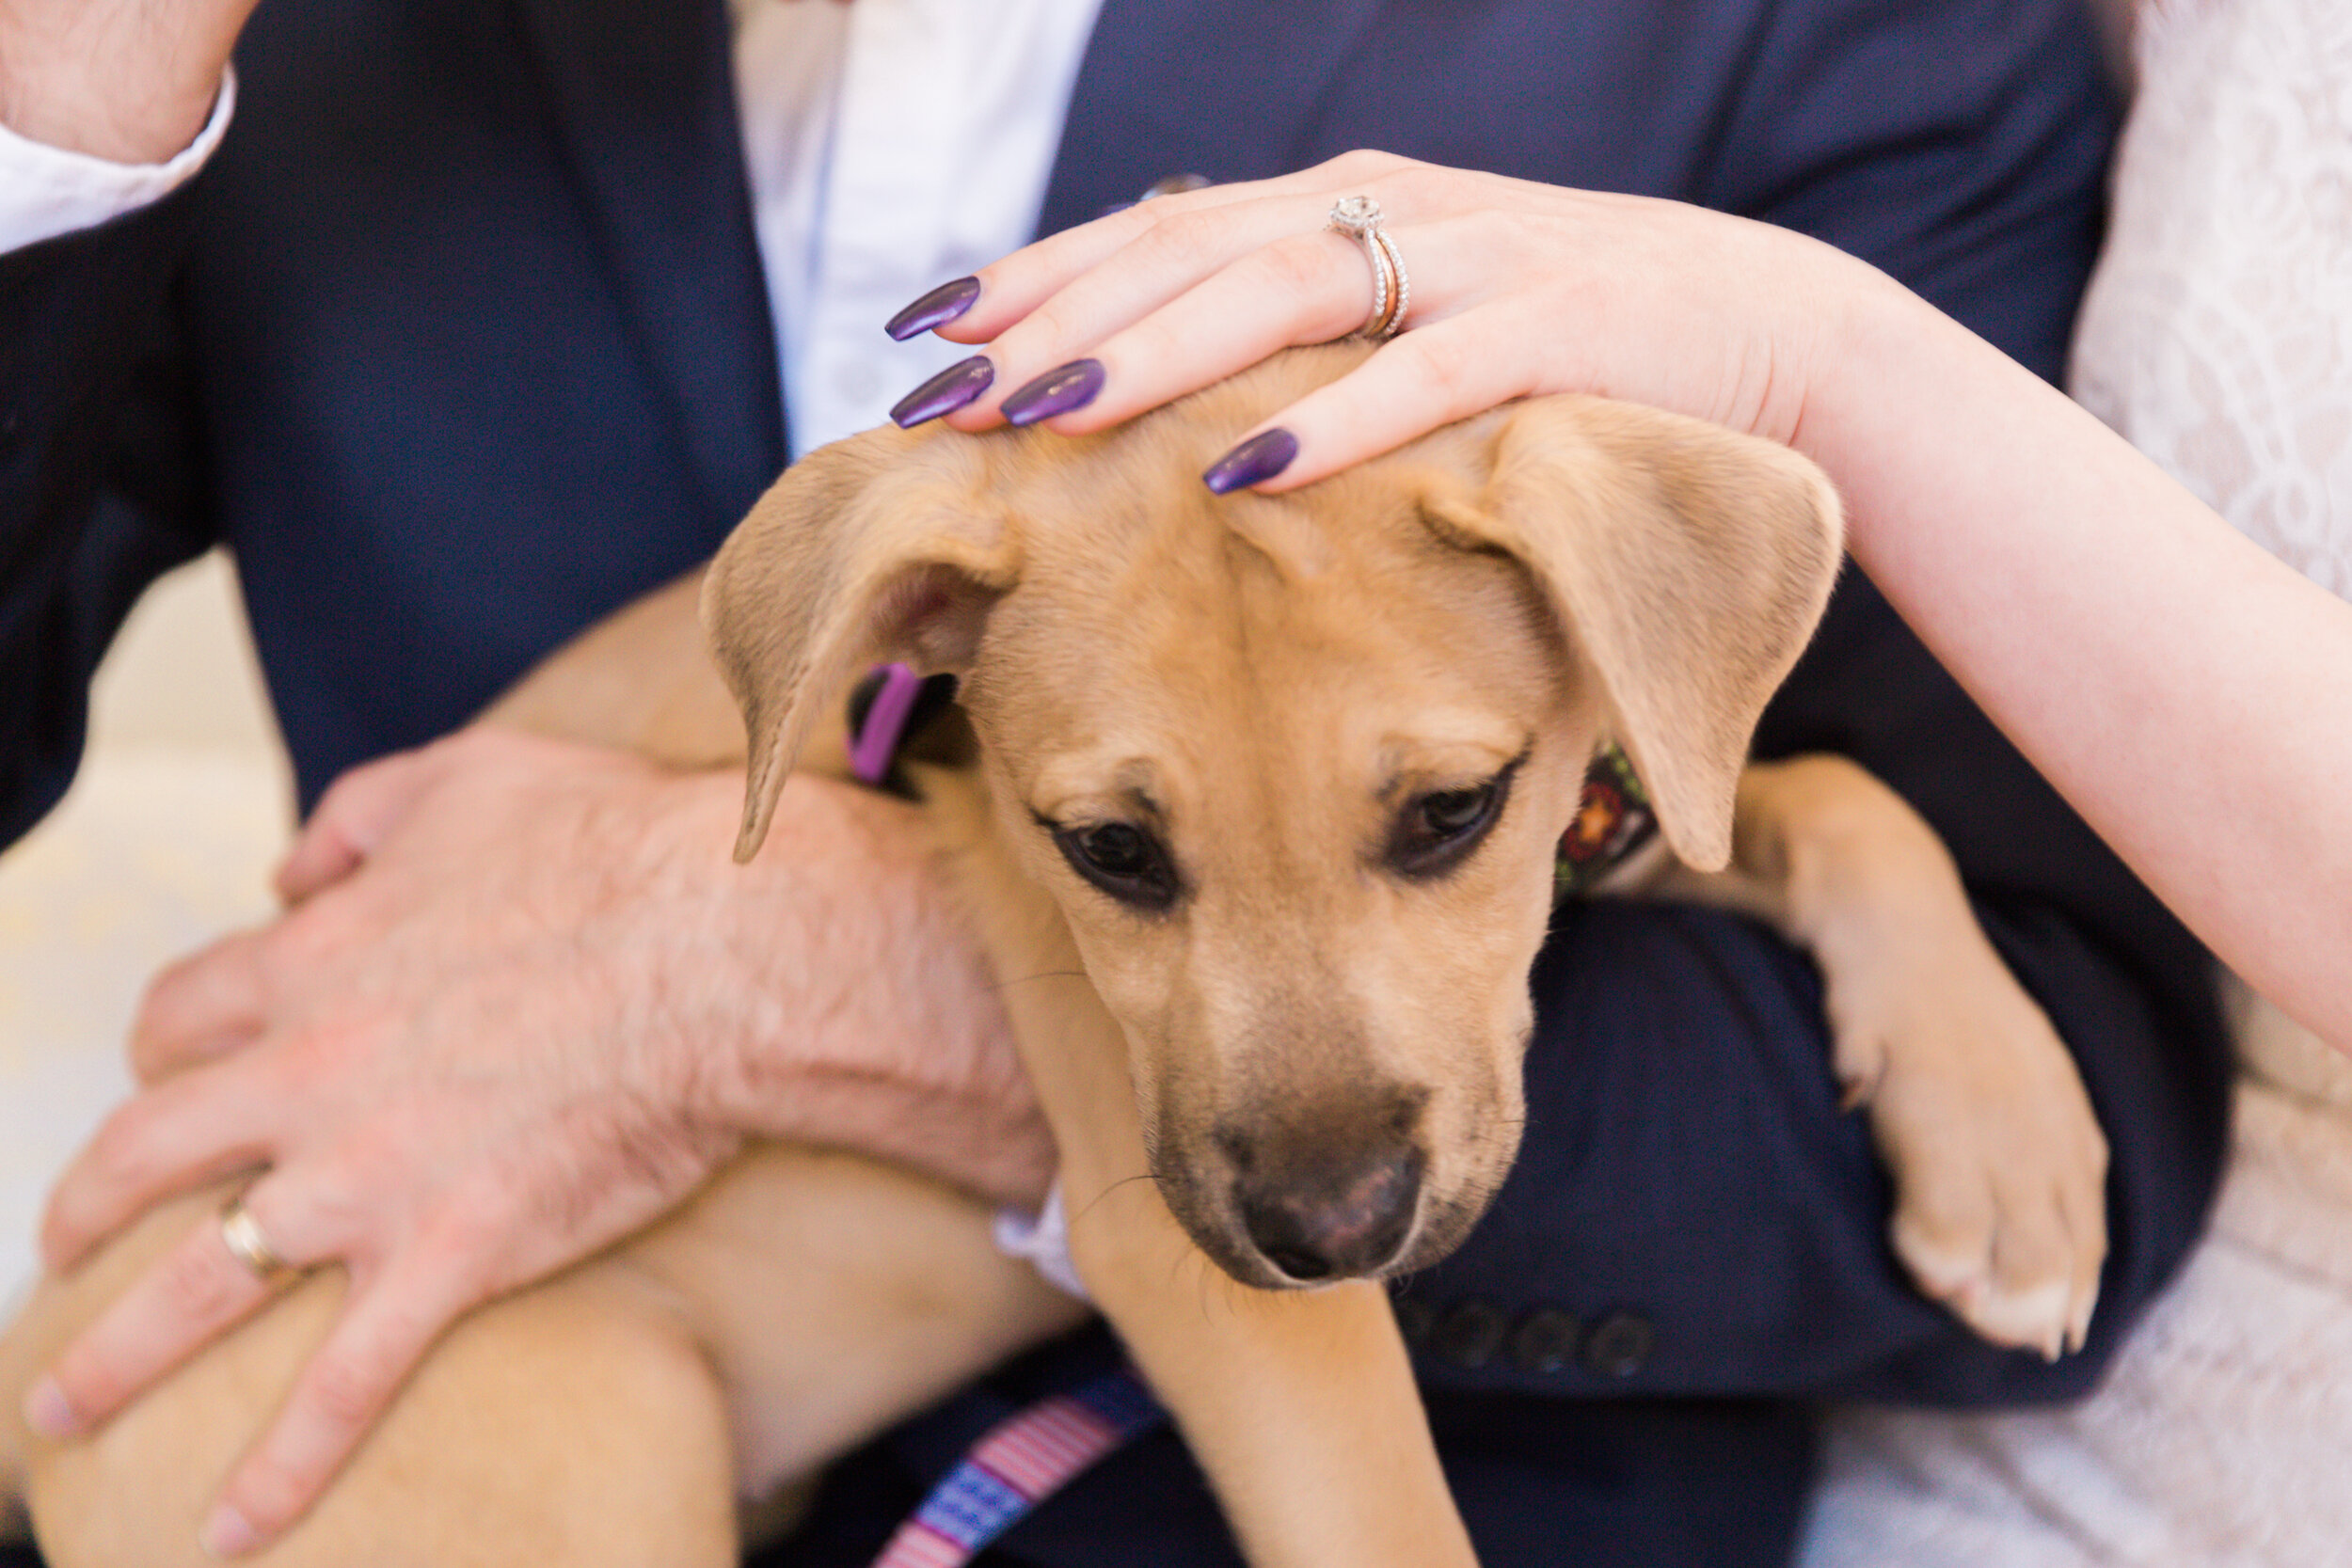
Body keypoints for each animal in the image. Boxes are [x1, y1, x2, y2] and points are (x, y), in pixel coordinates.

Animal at [0, 345, 2098, 1568]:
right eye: (1107, 853)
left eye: (1450, 813)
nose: (1332, 1225)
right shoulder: (1202, 1271)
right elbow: (1388, 1517)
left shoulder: (1632, 794)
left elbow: (1833, 790)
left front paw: (2009, 1150)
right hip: (587, 1454)